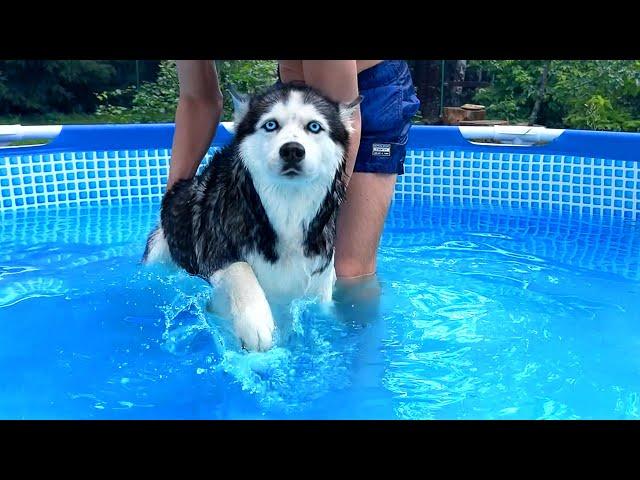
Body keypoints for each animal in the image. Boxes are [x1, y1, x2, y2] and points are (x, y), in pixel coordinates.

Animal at [143, 84, 362, 350]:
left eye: (314, 126)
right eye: (270, 125)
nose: (292, 150)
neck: (287, 208)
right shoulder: (214, 251)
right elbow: (239, 267)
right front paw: (255, 321)